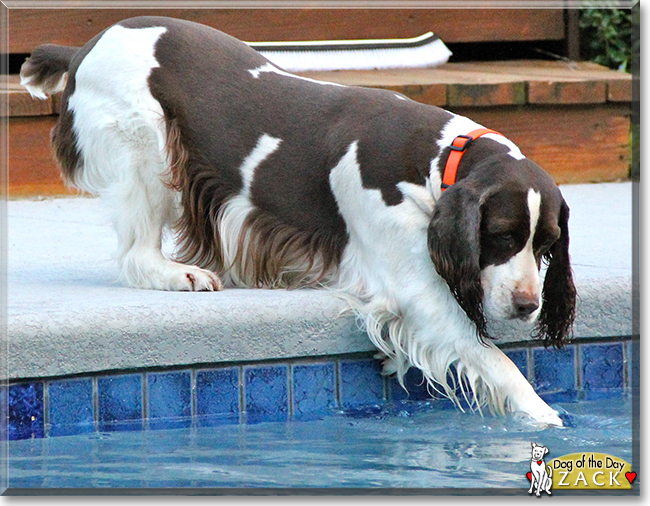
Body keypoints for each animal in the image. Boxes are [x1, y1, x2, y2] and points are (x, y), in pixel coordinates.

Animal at [21, 15, 576, 424]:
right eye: (501, 236)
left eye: (546, 245)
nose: (527, 306)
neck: (438, 157)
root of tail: (84, 46)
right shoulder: (415, 284)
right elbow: (496, 362)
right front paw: (550, 421)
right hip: (147, 144)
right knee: (137, 253)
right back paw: (182, 274)